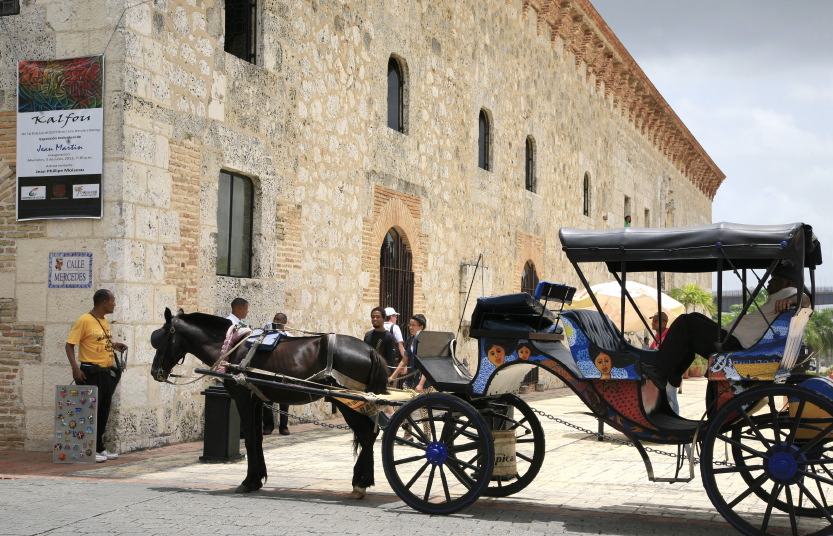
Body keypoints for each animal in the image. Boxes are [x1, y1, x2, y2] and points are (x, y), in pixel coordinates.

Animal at [150, 310, 390, 498]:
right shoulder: (257, 401)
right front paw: (257, 479)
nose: (155, 372)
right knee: (370, 434)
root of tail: (370, 350)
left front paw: (248, 481)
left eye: (162, 338)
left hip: (348, 402)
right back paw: (361, 479)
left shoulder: (243, 398)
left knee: (367, 435)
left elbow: (249, 439)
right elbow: (257, 439)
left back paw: (361, 482)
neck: (232, 346)